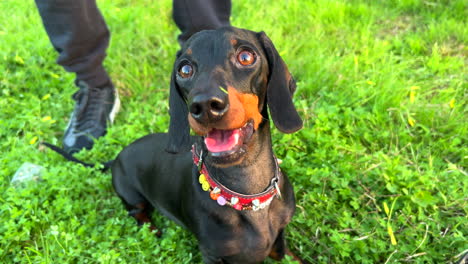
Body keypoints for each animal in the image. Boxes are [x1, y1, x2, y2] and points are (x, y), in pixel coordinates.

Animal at [111, 27, 306, 264]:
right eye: (185, 69)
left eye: (246, 57)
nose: (204, 106)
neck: (247, 191)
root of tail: (117, 156)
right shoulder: (212, 254)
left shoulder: (279, 238)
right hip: (131, 195)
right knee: (136, 213)